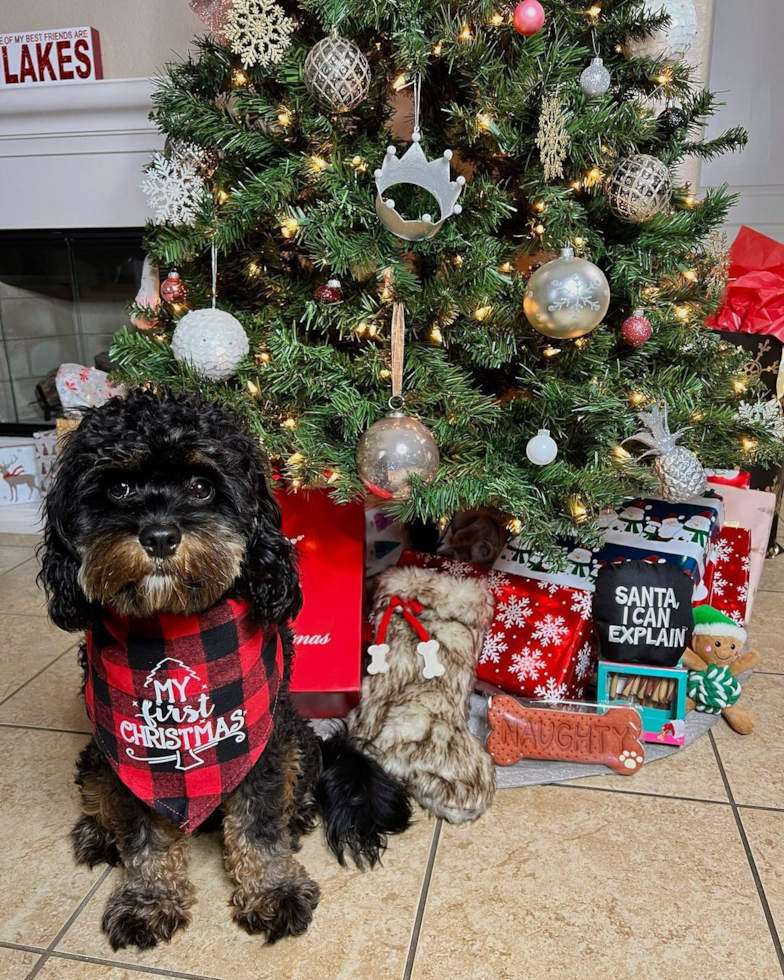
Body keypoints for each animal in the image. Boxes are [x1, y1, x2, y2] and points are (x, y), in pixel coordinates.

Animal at [38, 390, 410, 948]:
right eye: (119, 486)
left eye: (201, 485)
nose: (160, 535)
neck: (174, 626)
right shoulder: (133, 755)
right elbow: (145, 836)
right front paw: (148, 900)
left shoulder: (259, 744)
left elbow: (258, 825)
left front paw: (272, 890)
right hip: (98, 755)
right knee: (100, 791)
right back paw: (99, 831)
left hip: (293, 734)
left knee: (296, 785)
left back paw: (298, 816)